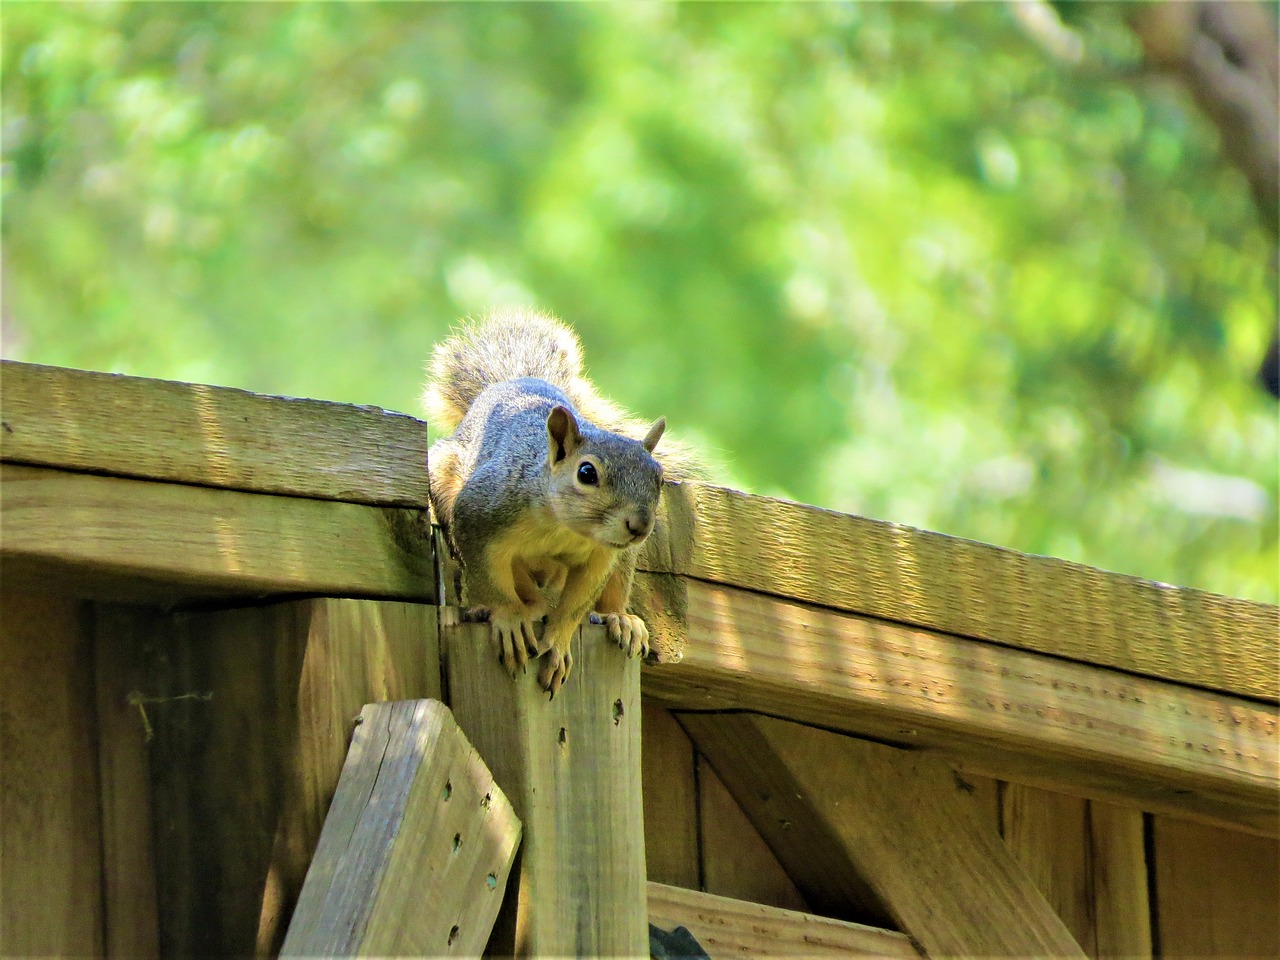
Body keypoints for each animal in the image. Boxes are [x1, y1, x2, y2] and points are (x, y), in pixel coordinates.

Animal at [422, 312, 686, 696]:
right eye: (586, 472)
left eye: (659, 479)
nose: (639, 526)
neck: (564, 527)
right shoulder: (479, 515)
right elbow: (495, 579)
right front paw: (512, 616)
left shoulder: (600, 557)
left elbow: (576, 604)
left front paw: (558, 641)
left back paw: (619, 617)